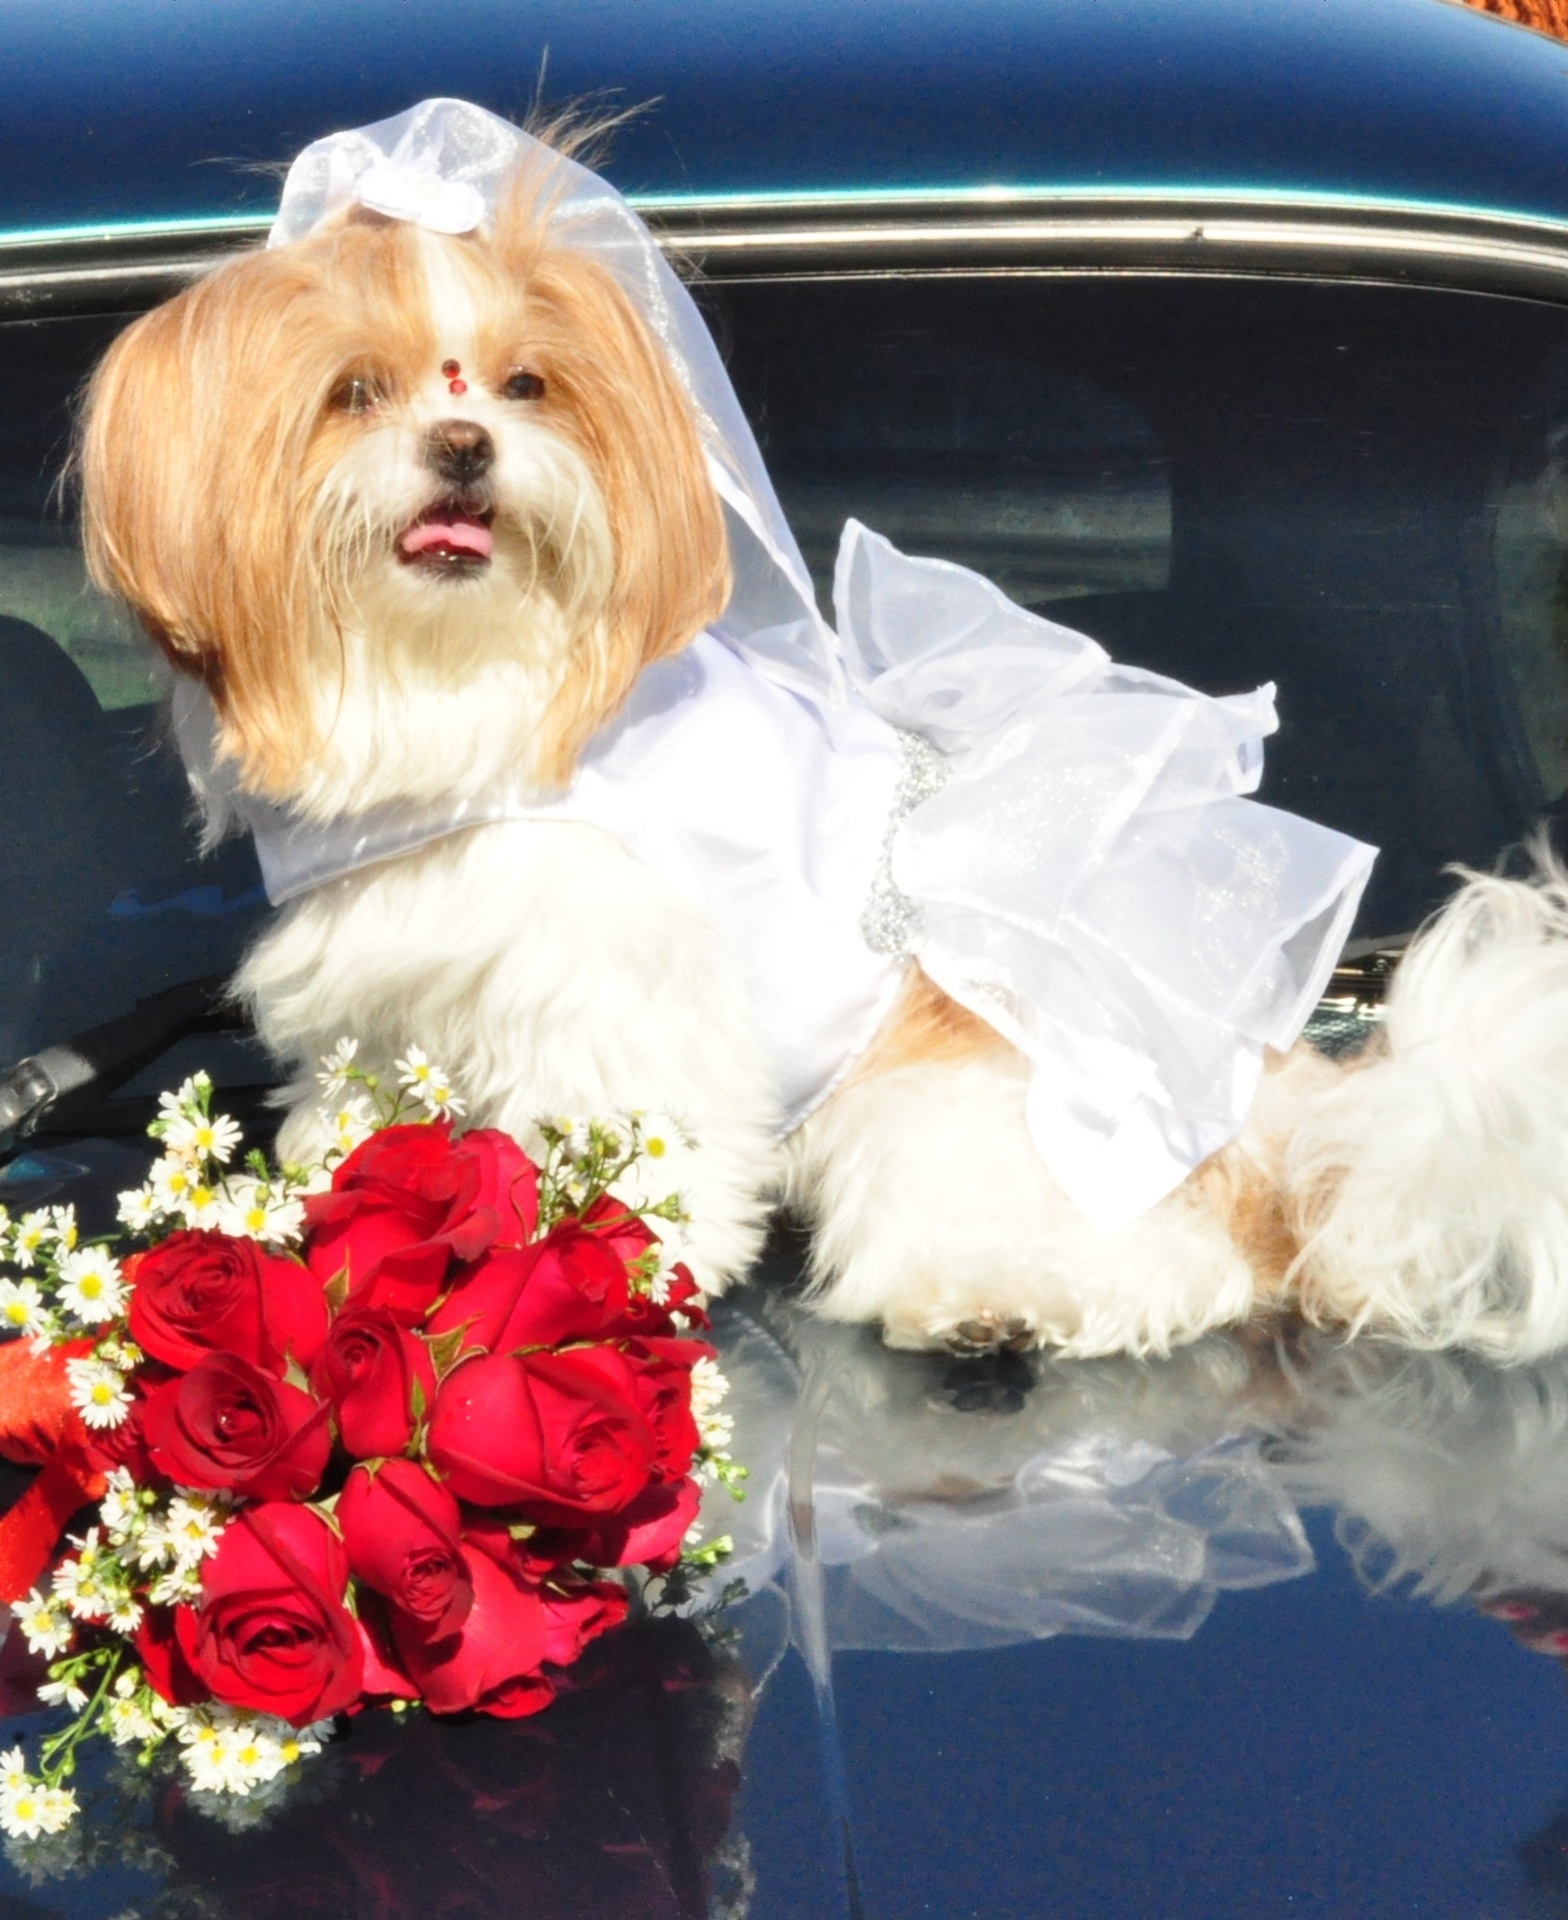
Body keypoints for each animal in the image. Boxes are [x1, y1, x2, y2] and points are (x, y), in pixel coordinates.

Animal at [73, 101, 1568, 1367]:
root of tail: (1297, 1128)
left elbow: (645, 1155)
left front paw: (602, 1283)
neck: (465, 684)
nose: (462, 445)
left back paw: (996, 1305)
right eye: (356, 394)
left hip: (952, 1110)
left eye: (526, 386)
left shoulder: (618, 993)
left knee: (1170, 1268)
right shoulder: (391, 992)